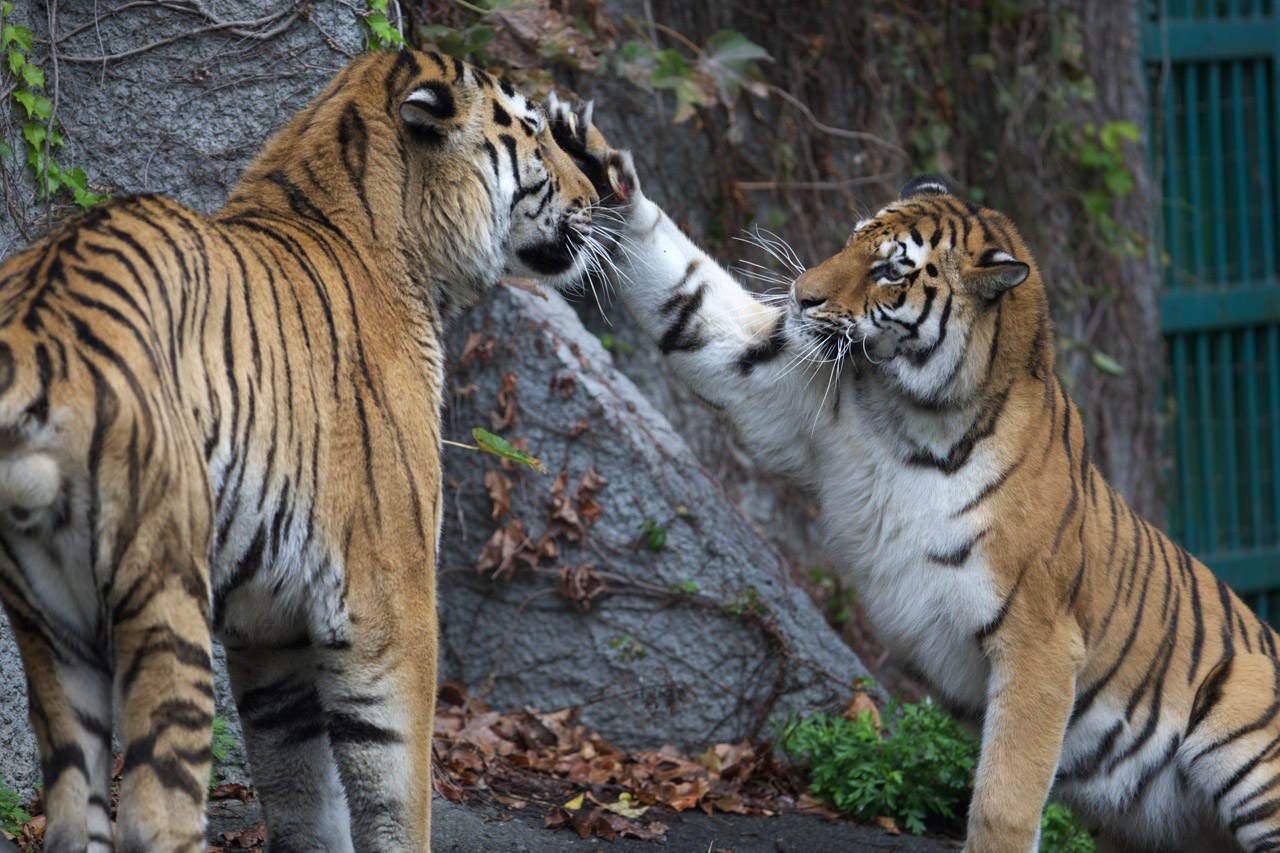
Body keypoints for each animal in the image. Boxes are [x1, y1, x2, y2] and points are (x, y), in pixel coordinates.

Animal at [0, 51, 599, 850]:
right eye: (535, 130)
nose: (596, 196)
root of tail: (38, 326)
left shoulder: (270, 628)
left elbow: (303, 792)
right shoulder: (392, 604)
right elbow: (394, 793)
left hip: (51, 628)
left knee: (74, 810)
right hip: (164, 587)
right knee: (157, 810)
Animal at [552, 101, 1280, 850]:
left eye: (890, 271)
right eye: (851, 241)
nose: (800, 297)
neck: (919, 414)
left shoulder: (1041, 644)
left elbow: (1004, 798)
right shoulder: (770, 382)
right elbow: (689, 297)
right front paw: (598, 164)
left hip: (1245, 730)